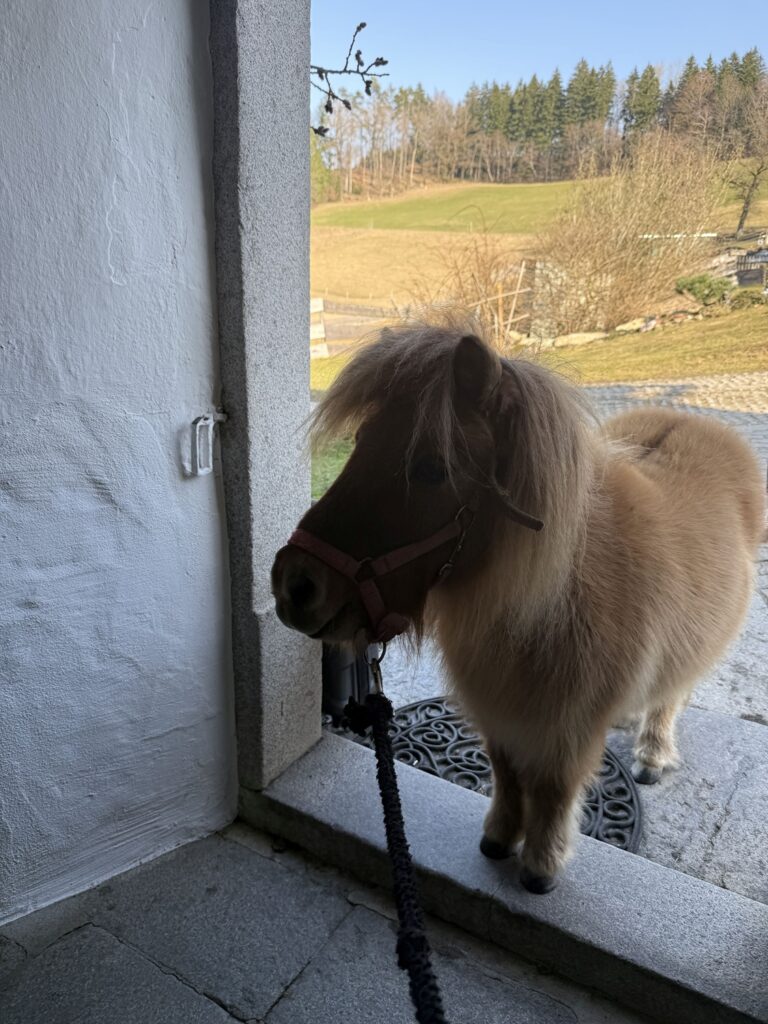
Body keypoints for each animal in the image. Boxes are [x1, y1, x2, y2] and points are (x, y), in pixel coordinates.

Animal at [271, 319, 765, 893]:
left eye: (431, 468)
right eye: (360, 442)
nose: (294, 584)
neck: (544, 604)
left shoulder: (566, 729)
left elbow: (552, 789)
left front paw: (541, 866)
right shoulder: (500, 712)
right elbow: (507, 774)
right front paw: (499, 839)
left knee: (671, 695)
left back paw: (653, 753)